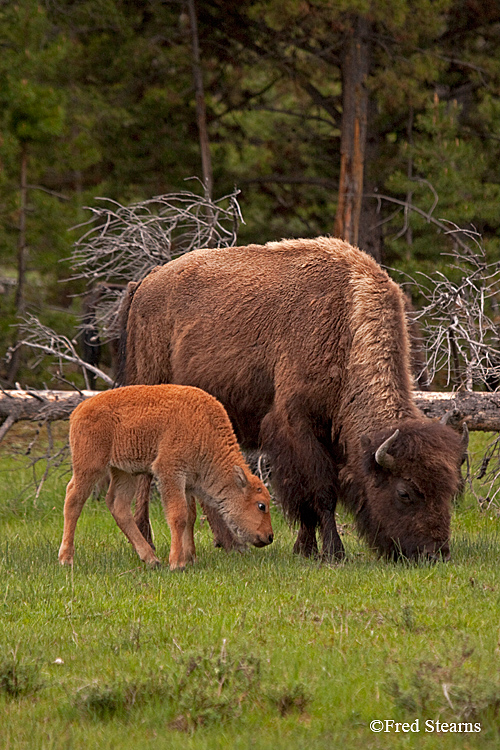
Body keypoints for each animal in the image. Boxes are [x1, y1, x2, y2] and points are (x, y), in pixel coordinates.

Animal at [58, 388, 274, 568]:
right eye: (261, 505)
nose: (270, 536)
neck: (205, 429)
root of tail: (79, 410)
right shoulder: (170, 473)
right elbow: (178, 516)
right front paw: (177, 563)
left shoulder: (187, 483)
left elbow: (190, 516)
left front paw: (191, 558)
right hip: (89, 466)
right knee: (73, 500)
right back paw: (66, 558)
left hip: (125, 473)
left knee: (118, 505)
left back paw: (151, 559)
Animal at [115, 238, 466, 560]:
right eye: (405, 493)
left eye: (450, 489)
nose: (436, 553)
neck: (346, 321)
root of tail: (145, 283)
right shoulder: (296, 425)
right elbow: (319, 492)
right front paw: (333, 552)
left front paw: (305, 549)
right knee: (145, 475)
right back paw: (150, 541)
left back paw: (230, 544)